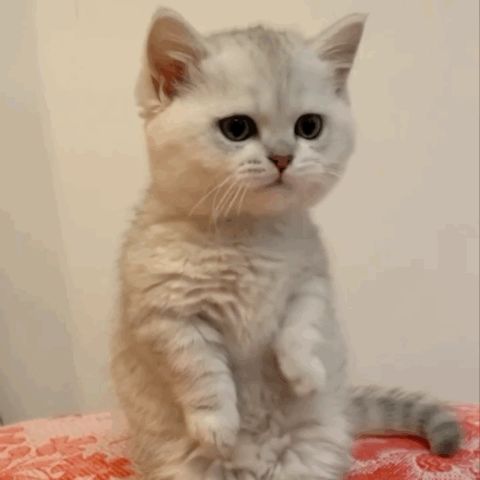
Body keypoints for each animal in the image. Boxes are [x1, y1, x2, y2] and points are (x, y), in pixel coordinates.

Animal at [111, 8, 462, 480]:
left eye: (308, 127)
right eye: (237, 128)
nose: (282, 157)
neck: (249, 235)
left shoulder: (310, 281)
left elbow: (300, 327)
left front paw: (305, 374)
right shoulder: (167, 315)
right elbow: (200, 372)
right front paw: (217, 425)